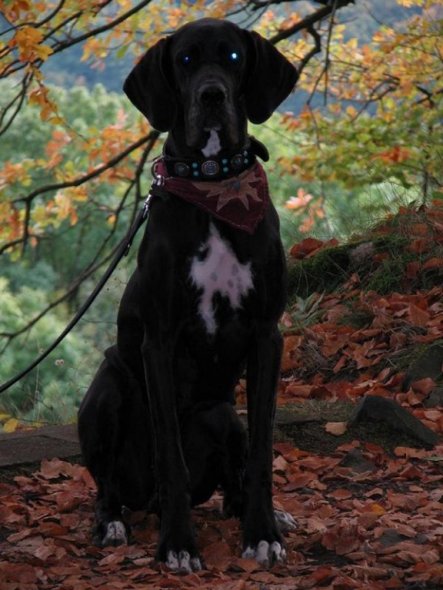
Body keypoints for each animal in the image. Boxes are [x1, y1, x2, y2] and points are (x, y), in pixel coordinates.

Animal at [79, 18, 298, 572]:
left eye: (235, 56)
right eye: (184, 61)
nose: (212, 95)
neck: (216, 188)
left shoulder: (267, 335)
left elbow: (263, 451)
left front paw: (262, 533)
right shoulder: (158, 340)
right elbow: (170, 455)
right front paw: (178, 544)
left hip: (223, 415)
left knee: (233, 478)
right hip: (107, 388)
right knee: (107, 486)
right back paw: (113, 522)